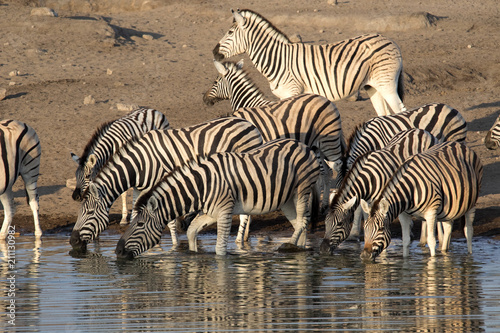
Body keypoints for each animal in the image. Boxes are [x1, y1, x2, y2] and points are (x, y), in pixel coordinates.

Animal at [71, 116, 266, 252]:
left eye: (89, 212)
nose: (72, 241)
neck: (139, 163)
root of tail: (249, 124)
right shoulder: (139, 188)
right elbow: (136, 213)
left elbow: (169, 220)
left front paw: (173, 246)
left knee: (245, 213)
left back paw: (239, 243)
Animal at [115, 137, 320, 256]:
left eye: (140, 224)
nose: (117, 251)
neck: (200, 186)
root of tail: (303, 145)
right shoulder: (211, 212)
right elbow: (191, 231)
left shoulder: (225, 212)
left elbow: (220, 249)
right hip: (286, 199)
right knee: (298, 224)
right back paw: (298, 250)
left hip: (302, 190)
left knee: (302, 221)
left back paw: (288, 247)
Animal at [203, 59, 344, 215]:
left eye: (215, 81)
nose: (205, 99)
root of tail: (326, 100)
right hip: (318, 145)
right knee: (327, 172)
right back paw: (323, 206)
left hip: (329, 142)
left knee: (337, 167)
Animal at [214, 9, 406, 115]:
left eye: (230, 32)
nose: (214, 52)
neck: (277, 59)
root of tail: (389, 40)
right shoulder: (283, 96)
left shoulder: (292, 92)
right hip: (373, 86)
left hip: (387, 84)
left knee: (400, 112)